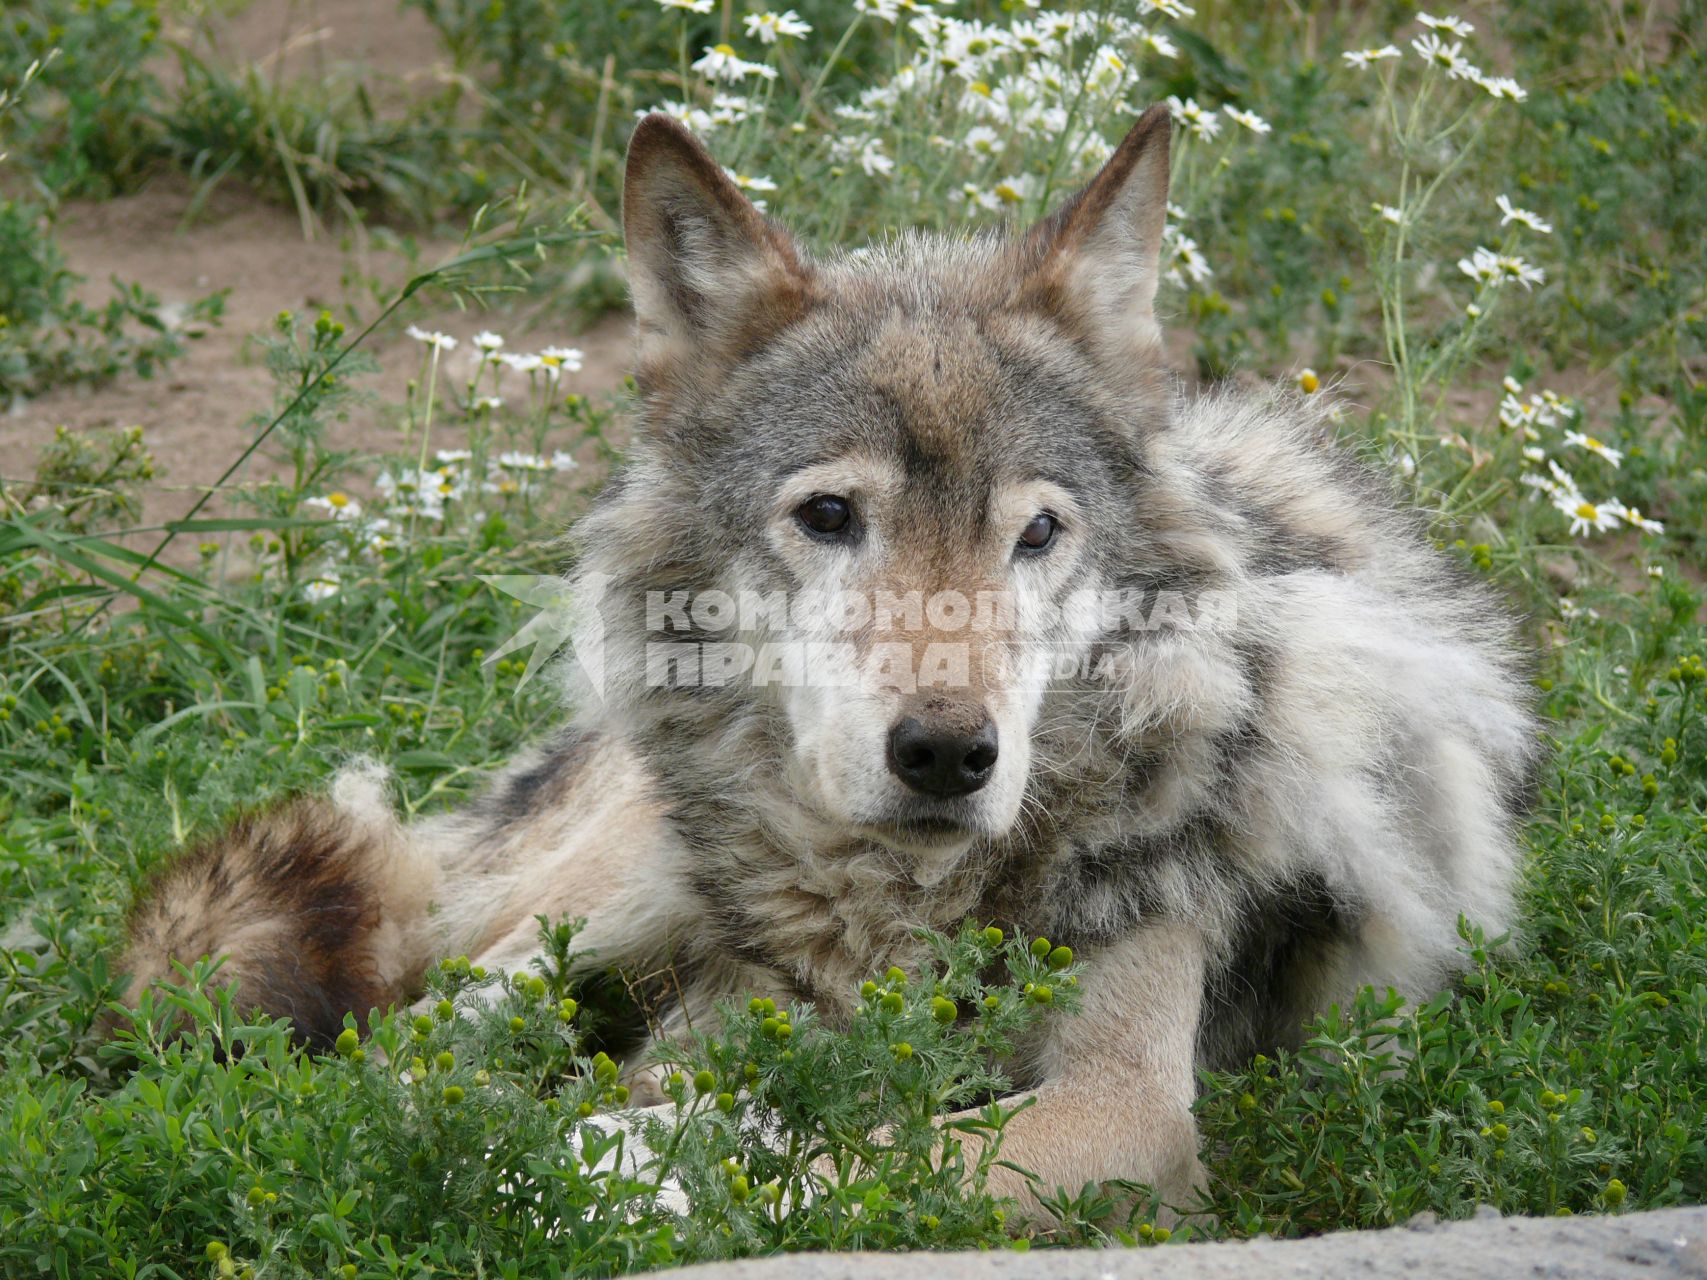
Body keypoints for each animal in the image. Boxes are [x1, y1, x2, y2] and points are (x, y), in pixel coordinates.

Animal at [116, 107, 1536, 1215]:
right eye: (831, 515)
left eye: (1036, 532)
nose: (949, 753)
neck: (909, 911)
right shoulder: (749, 1000)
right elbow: (753, 1114)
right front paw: (588, 1143)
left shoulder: (1127, 1106)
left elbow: (860, 1150)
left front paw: (620, 1159)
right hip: (626, 887)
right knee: (429, 1021)